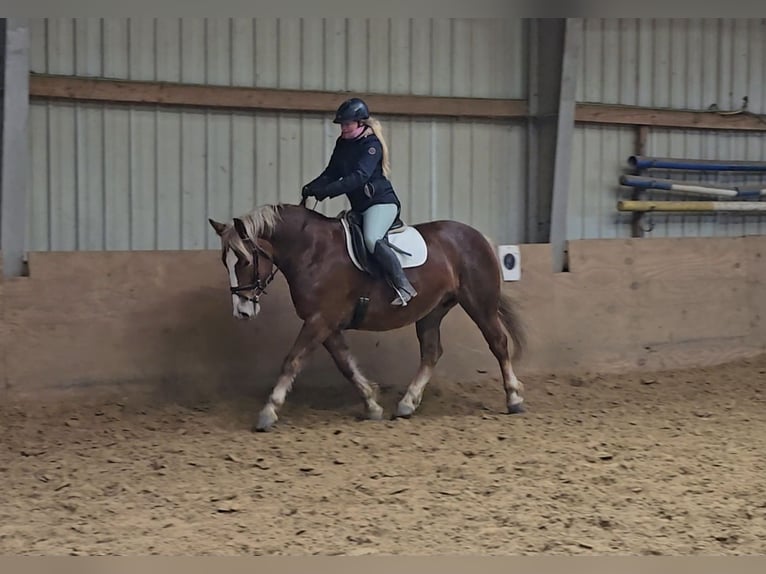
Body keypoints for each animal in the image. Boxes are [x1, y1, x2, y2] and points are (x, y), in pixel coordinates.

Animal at [208, 202, 528, 432]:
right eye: (225, 261)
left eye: (245, 261)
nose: (242, 311)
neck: (312, 251)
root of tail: (476, 235)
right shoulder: (326, 324)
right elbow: (346, 364)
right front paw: (372, 405)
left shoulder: (319, 320)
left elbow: (293, 360)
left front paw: (268, 411)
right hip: (432, 310)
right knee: (432, 351)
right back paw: (407, 404)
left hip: (479, 302)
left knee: (498, 342)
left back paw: (514, 398)